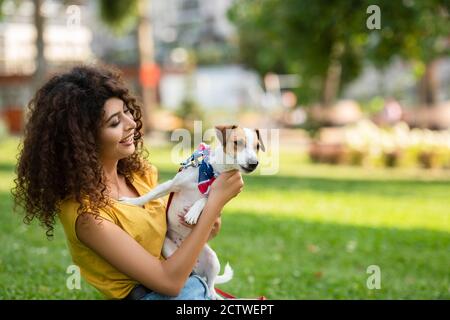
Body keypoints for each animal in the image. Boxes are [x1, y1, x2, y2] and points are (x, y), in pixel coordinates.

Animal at [120, 125, 264, 300]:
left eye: (257, 147)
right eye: (238, 143)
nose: (254, 163)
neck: (212, 172)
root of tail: (197, 267)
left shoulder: (216, 198)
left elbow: (204, 200)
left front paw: (193, 213)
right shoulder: (171, 185)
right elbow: (149, 195)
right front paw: (131, 202)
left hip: (213, 259)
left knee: (211, 284)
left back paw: (214, 294)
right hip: (168, 250)